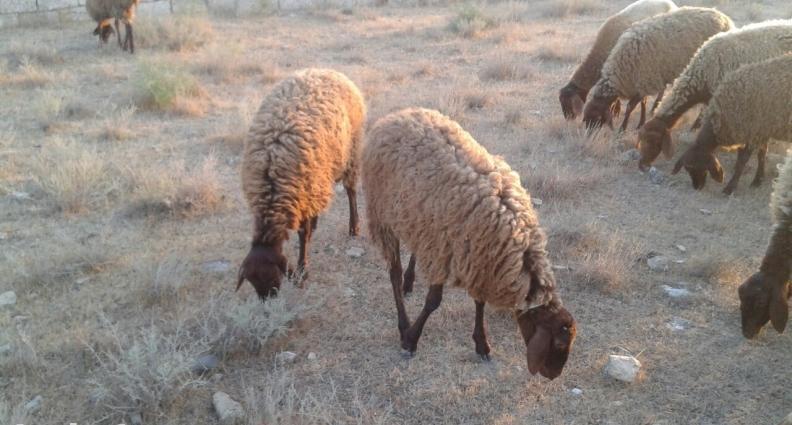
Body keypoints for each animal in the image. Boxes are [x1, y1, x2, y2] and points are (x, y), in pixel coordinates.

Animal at [237, 68, 366, 300]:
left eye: (272, 276)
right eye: (252, 282)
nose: (268, 302)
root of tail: (329, 70)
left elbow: (303, 235)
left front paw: (302, 271)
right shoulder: (302, 195)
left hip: (350, 153)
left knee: (351, 191)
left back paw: (354, 227)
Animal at [362, 108, 576, 379]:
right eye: (558, 343)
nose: (554, 374)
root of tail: (397, 115)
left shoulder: (478, 257)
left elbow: (479, 301)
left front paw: (482, 344)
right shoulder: (446, 252)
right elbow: (433, 302)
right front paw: (411, 340)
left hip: (417, 216)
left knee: (413, 250)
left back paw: (409, 281)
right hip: (382, 213)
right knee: (393, 271)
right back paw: (403, 318)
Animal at [582, 7, 734, 132]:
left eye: (596, 117)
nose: (589, 137)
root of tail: (725, 18)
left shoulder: (645, 80)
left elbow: (631, 107)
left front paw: (623, 129)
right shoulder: (642, 82)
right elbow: (642, 103)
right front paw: (640, 123)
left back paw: (695, 127)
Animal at [672, 54, 792, 194]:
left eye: (699, 167)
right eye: (687, 169)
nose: (697, 187)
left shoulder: (753, 131)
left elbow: (742, 160)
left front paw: (730, 187)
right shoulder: (761, 131)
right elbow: (761, 155)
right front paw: (758, 180)